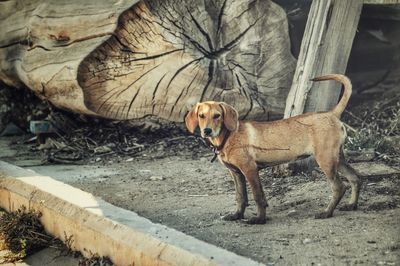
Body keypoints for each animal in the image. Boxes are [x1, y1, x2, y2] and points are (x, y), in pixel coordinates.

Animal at [186, 74, 360, 223]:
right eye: (201, 116)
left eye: (217, 116)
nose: (207, 131)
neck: (228, 136)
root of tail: (332, 114)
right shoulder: (236, 173)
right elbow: (241, 197)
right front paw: (237, 215)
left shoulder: (250, 169)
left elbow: (258, 196)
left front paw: (259, 219)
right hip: (337, 159)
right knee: (355, 178)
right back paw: (351, 205)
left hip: (326, 160)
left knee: (339, 187)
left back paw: (327, 212)